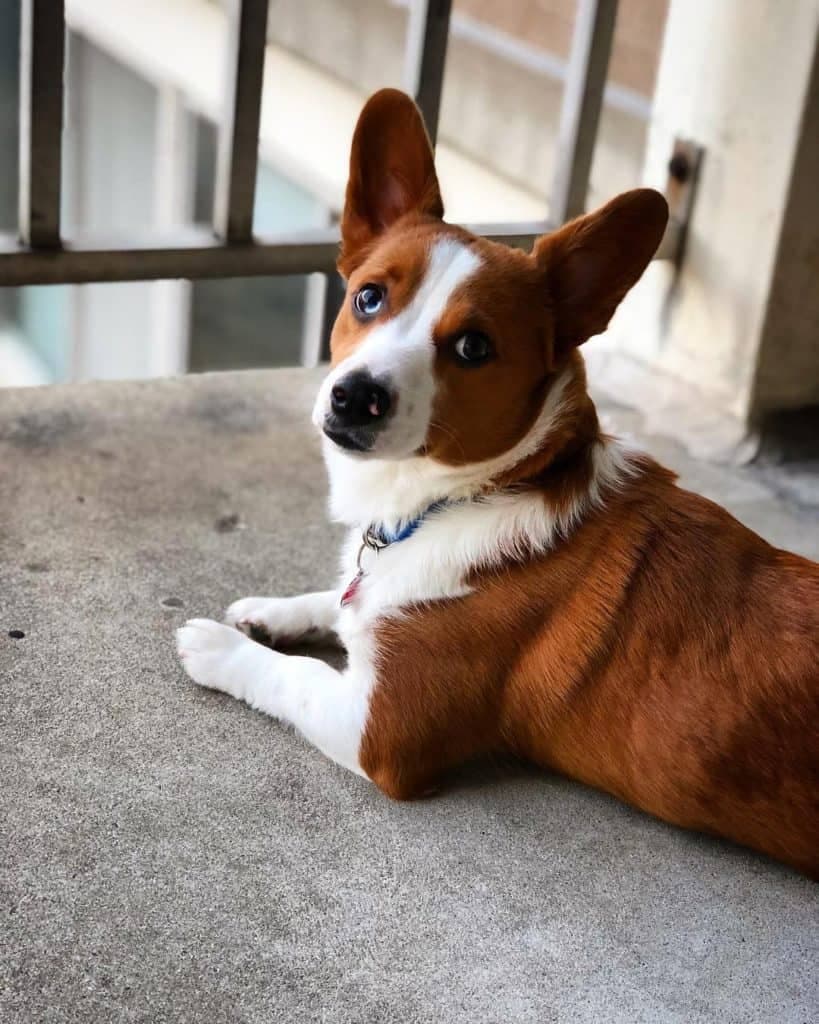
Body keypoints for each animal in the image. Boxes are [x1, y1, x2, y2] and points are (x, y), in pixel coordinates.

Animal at [179, 88, 818, 876]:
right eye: (368, 299)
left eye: (472, 346)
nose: (354, 397)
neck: (462, 495)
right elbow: (338, 598)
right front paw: (273, 611)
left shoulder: (375, 727)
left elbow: (291, 677)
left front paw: (219, 648)